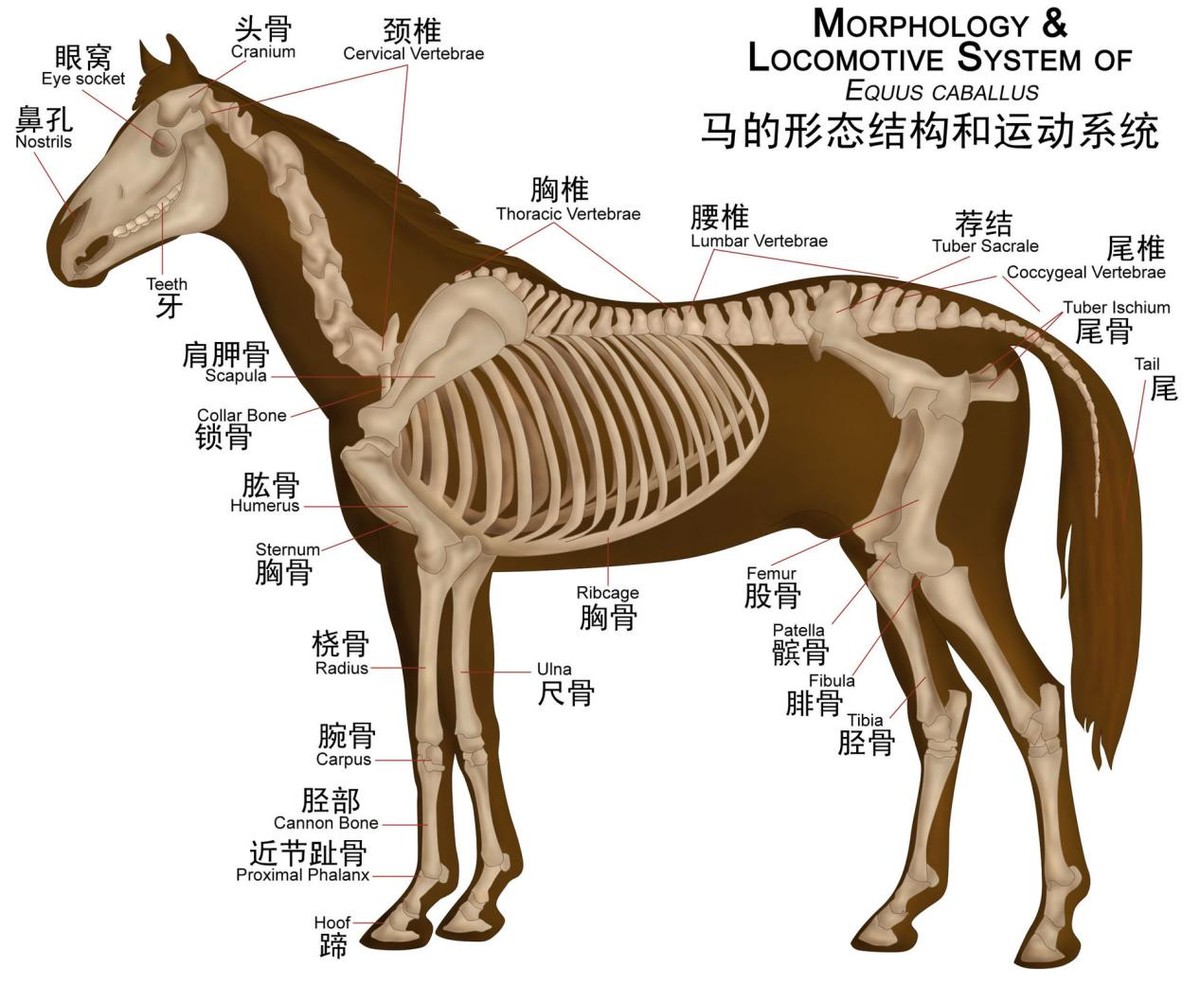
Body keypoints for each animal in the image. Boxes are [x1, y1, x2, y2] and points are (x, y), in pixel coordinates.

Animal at [46, 36, 1140, 968]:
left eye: (157, 140)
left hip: (944, 554)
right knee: (944, 707)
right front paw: (478, 899)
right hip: (880, 554)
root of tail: (987, 327)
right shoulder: (457, 564)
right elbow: (472, 720)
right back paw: (897, 915)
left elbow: (432, 727)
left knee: (1033, 700)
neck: (389, 344)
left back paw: (1048, 931)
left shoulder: (431, 558)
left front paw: (412, 911)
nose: (63, 250)